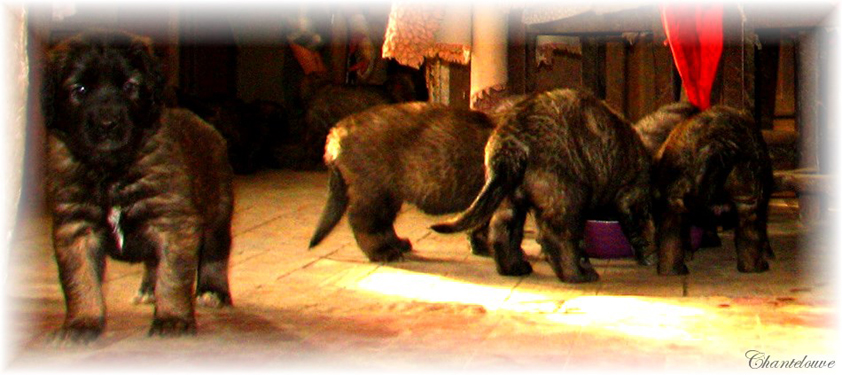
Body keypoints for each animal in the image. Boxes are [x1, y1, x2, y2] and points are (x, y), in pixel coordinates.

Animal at [42, 30, 233, 346]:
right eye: (79, 89)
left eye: (130, 87)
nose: (108, 124)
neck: (110, 171)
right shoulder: (75, 228)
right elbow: (80, 280)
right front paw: (82, 323)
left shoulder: (172, 221)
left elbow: (172, 277)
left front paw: (172, 319)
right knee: (152, 261)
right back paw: (147, 289)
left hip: (218, 211)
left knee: (215, 254)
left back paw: (213, 292)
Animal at [306, 103, 492, 262]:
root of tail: (336, 130)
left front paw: (479, 246)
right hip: (374, 191)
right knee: (363, 222)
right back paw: (381, 252)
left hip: (389, 194)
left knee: (384, 223)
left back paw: (397, 244)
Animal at [434, 89, 656, 284]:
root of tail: (510, 140)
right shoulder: (631, 199)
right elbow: (639, 229)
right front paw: (647, 254)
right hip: (567, 195)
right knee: (556, 237)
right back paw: (577, 274)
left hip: (508, 196)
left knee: (501, 231)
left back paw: (513, 268)